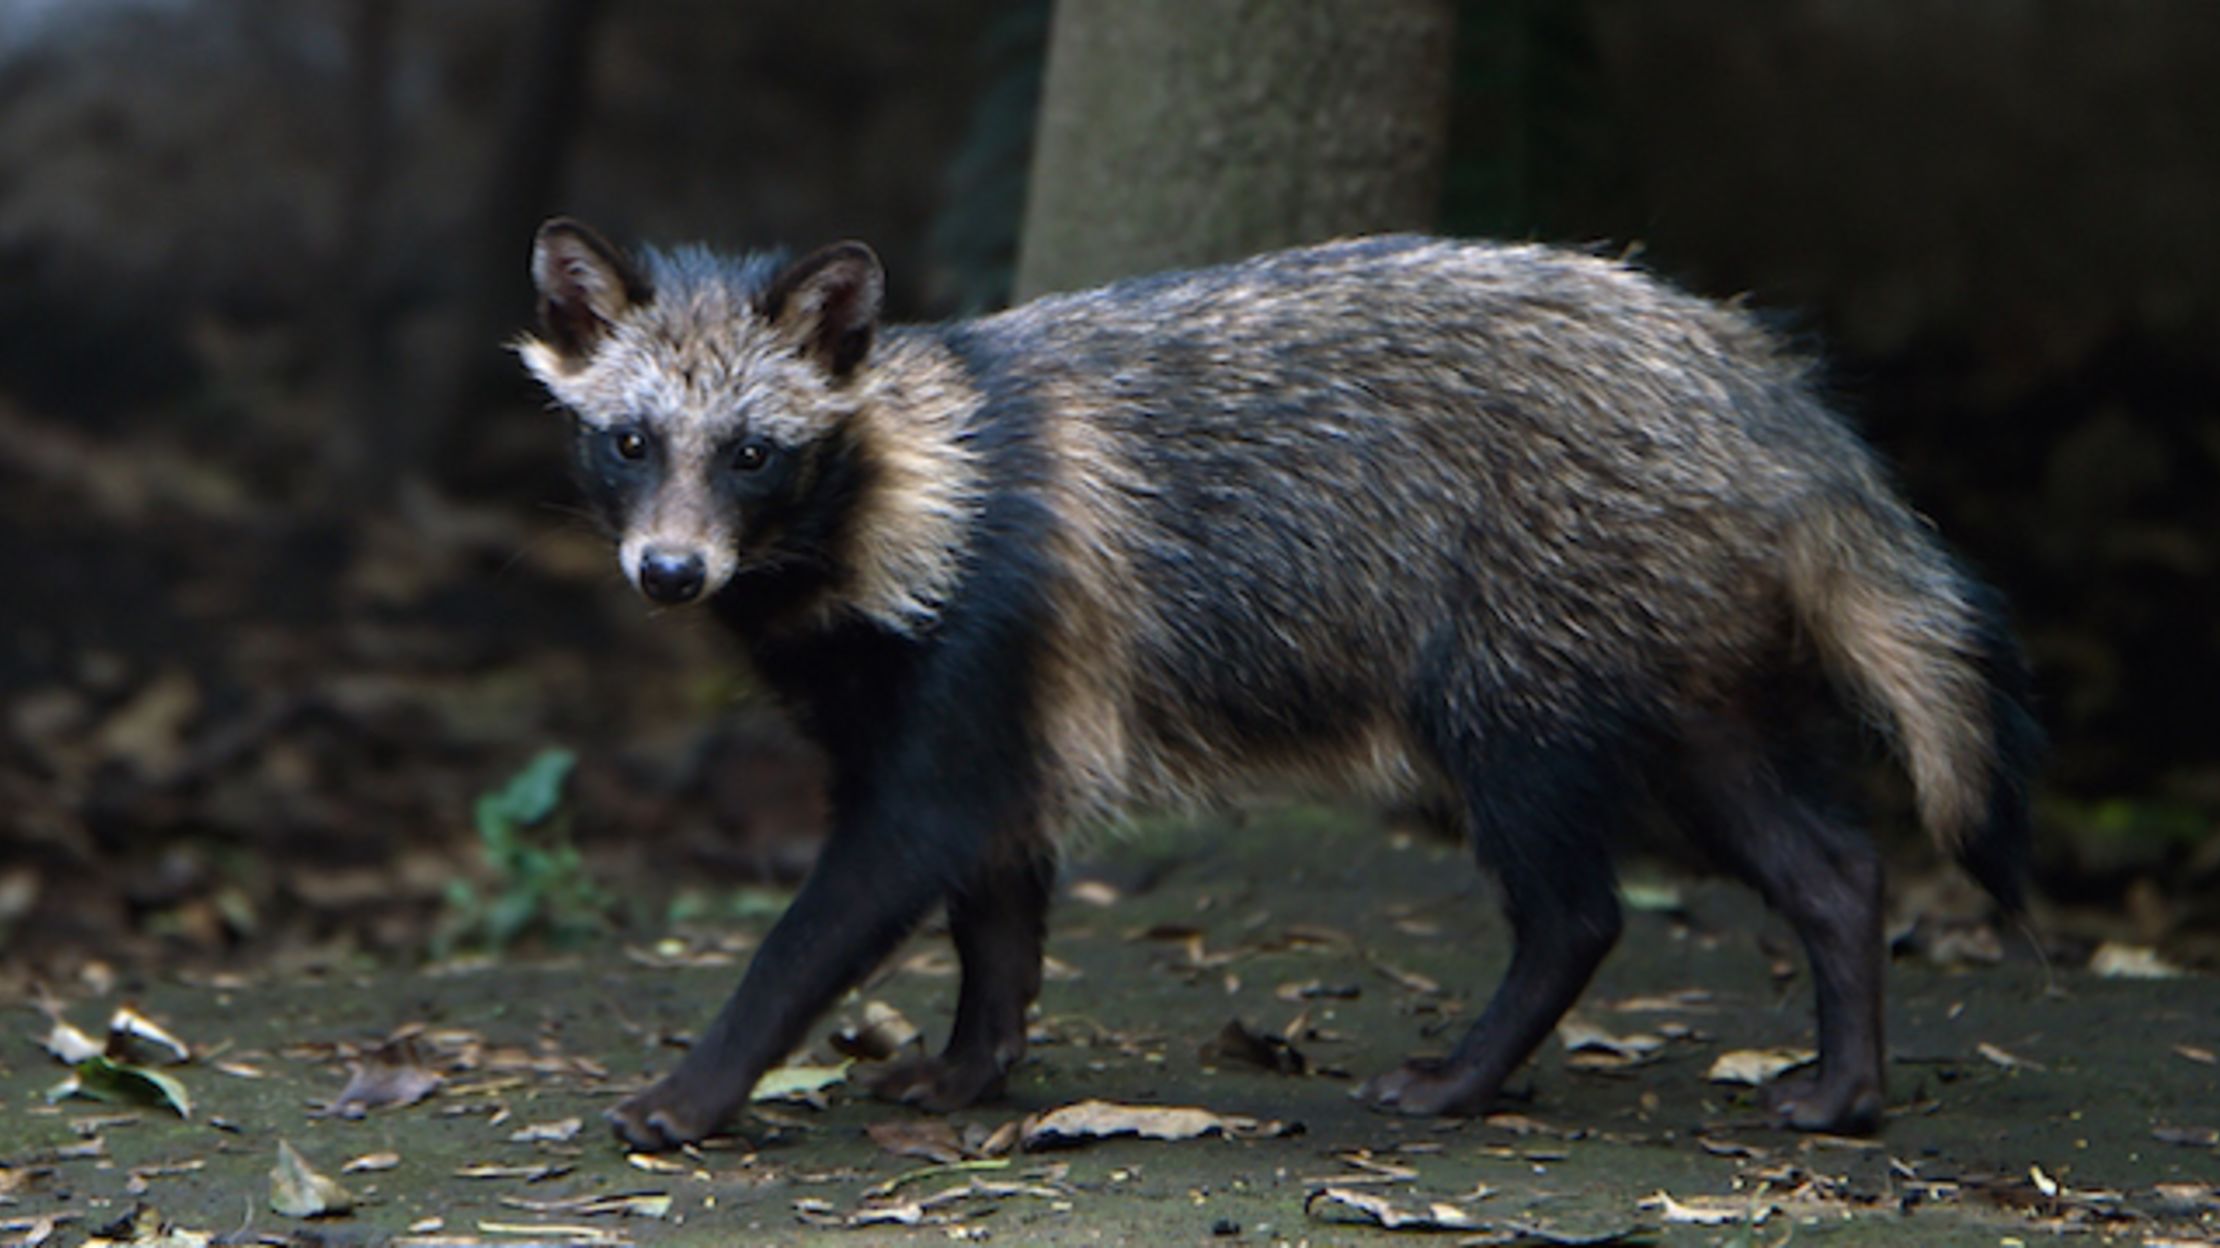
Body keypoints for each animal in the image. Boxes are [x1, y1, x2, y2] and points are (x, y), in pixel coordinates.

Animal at [515, 216, 2033, 1145]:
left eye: (754, 454)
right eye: (632, 441)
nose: (670, 574)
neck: (894, 489)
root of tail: (1748, 375)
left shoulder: (977, 655)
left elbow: (839, 909)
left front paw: (702, 1081)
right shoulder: (969, 705)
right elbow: (997, 908)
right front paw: (973, 1058)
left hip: (1518, 653)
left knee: (1577, 904)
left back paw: (1475, 1068)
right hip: (1676, 664)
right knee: (1828, 861)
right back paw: (1846, 1073)